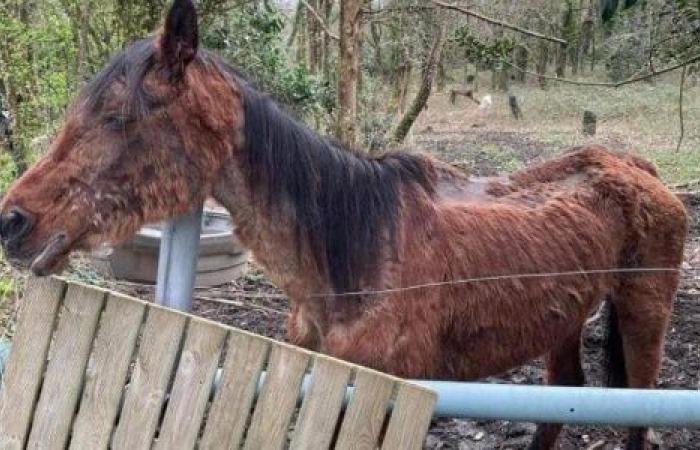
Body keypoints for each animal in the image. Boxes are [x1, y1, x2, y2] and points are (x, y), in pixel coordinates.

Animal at [1, 1, 688, 448]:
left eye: (117, 117)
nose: (13, 220)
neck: (354, 255)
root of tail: (638, 166)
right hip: (566, 321)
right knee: (562, 398)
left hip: (644, 315)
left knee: (637, 414)